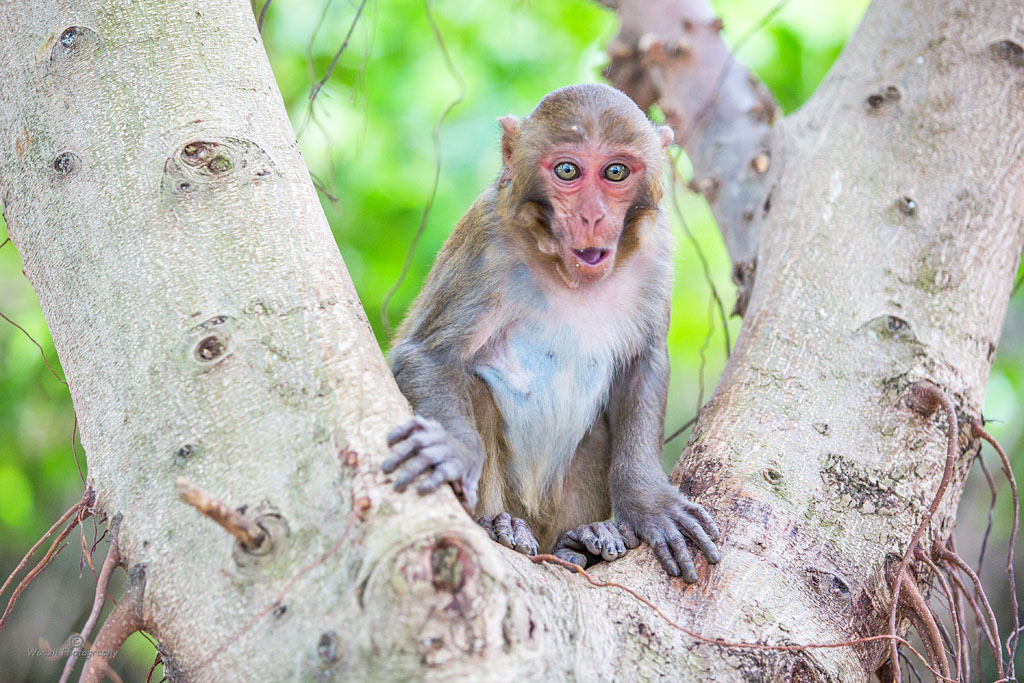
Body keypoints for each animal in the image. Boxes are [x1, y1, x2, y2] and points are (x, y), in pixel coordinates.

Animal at [382, 82, 720, 581]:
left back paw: (583, 543)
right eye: (567, 170)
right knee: (475, 390)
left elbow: (643, 363)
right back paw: (500, 526)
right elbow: (428, 354)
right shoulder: (486, 236)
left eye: (615, 172)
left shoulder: (656, 251)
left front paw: (649, 502)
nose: (593, 217)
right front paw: (455, 449)